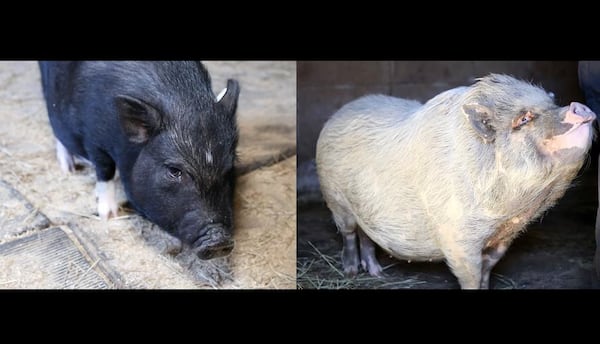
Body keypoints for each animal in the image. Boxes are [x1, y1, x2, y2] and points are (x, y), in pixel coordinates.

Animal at [38, 62, 241, 260]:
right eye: (174, 170)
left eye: (229, 169)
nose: (219, 240)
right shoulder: (95, 140)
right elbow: (105, 170)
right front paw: (109, 215)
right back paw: (69, 169)